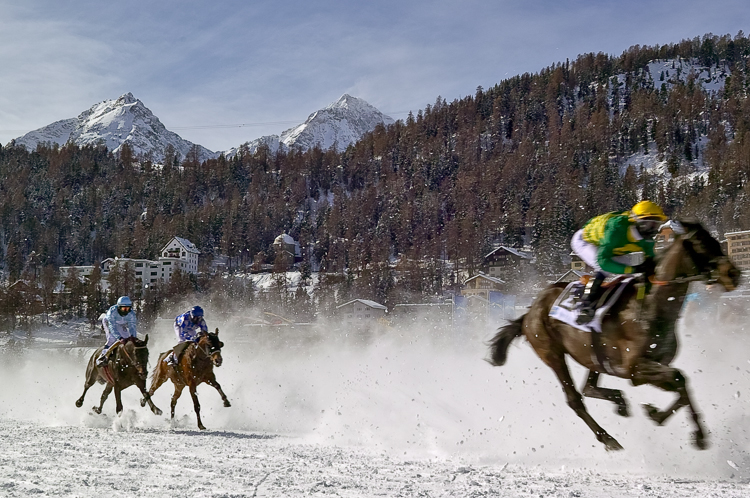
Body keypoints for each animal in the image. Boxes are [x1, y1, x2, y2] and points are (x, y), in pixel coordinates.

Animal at [490, 222, 744, 452]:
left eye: (716, 241)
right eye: (701, 245)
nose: (733, 274)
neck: (651, 307)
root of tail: (529, 311)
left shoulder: (655, 365)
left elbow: (681, 385)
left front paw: (665, 419)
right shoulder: (634, 369)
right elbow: (679, 377)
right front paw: (693, 432)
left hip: (592, 355)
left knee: (589, 388)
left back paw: (619, 401)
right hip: (552, 353)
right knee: (575, 399)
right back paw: (608, 438)